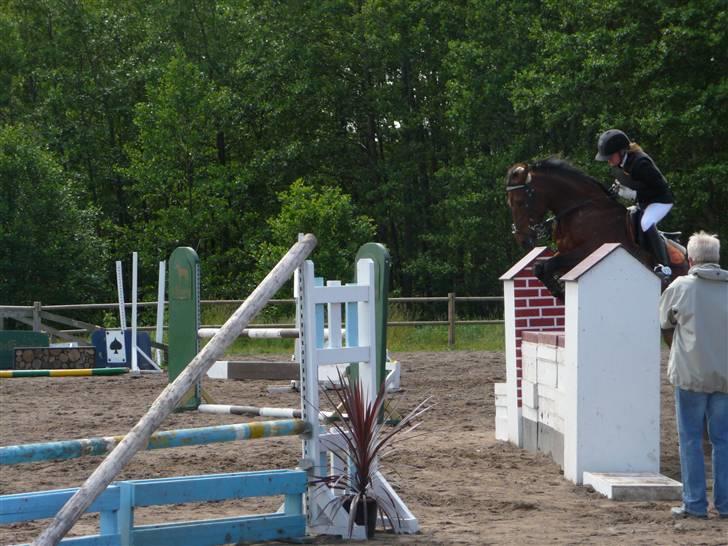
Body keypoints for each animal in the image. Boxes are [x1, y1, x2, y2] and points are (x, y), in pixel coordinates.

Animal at [506, 157, 688, 298]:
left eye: (520, 202)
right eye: (510, 203)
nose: (522, 240)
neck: (581, 209)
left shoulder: (588, 252)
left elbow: (549, 265)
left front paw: (560, 291)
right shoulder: (565, 254)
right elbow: (540, 268)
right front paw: (558, 291)